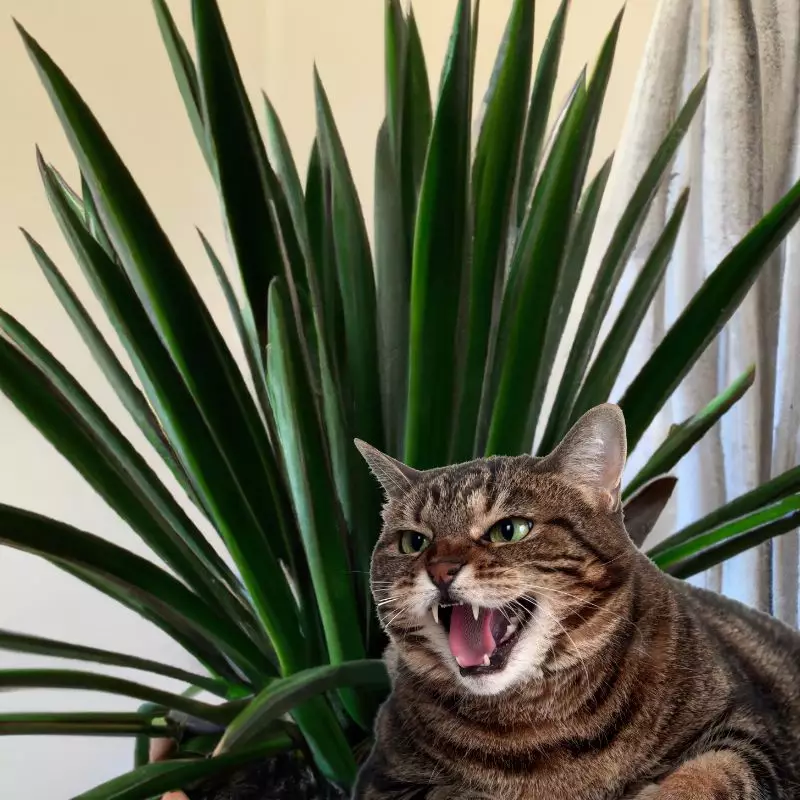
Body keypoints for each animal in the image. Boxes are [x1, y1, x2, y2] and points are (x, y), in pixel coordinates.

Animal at [354, 406, 800, 800]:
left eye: (509, 530)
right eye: (414, 542)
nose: (441, 570)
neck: (536, 718)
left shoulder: (752, 734)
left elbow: (713, 774)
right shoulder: (383, 779)